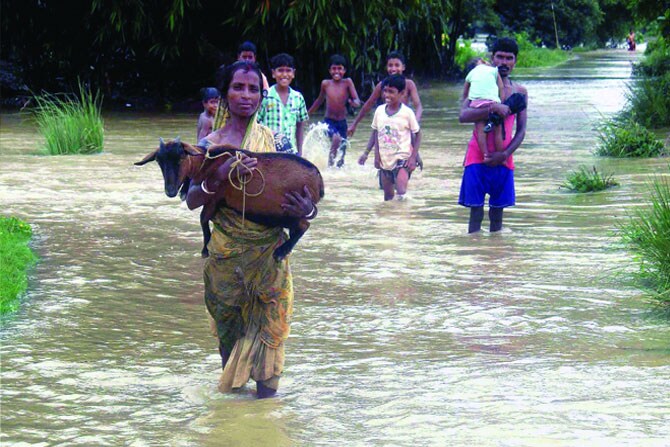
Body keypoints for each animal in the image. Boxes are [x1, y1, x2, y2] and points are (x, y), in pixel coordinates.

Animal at [192, 144, 326, 262]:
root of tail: (319, 177)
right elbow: (204, 217)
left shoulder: (215, 197)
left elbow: (203, 218)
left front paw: (205, 250)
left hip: (284, 211)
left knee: (304, 225)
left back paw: (280, 252)